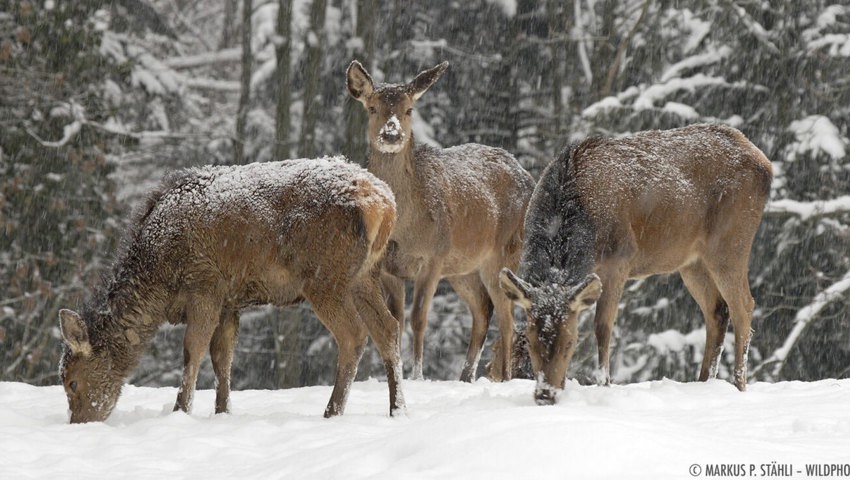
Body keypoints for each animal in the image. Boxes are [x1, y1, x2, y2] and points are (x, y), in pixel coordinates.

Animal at [58, 156, 404, 422]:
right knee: (388, 328)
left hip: (324, 276)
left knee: (355, 334)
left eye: (72, 382)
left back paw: (332, 411)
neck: (159, 279)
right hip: (365, 275)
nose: (79, 423)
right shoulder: (230, 300)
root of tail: (385, 204)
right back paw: (397, 409)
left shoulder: (205, 284)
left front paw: (180, 410)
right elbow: (222, 356)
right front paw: (222, 411)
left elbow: (193, 349)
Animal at [342, 61, 528, 382]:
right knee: (483, 308)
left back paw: (504, 377)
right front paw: (397, 371)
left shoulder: (433, 256)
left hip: (504, 250)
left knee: (507, 314)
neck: (404, 227)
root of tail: (528, 175)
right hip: (462, 267)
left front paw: (417, 375)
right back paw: (466, 376)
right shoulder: (387, 266)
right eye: (372, 107)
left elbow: (419, 318)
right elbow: (397, 320)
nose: (391, 134)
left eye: (409, 110)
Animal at [500, 124, 772, 404]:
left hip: (730, 242)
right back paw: (704, 382)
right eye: (531, 340)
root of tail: (765, 163)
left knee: (744, 306)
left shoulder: (620, 258)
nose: (545, 394)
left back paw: (739, 385)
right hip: (692, 261)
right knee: (717, 309)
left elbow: (602, 327)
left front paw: (604, 384)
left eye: (569, 343)